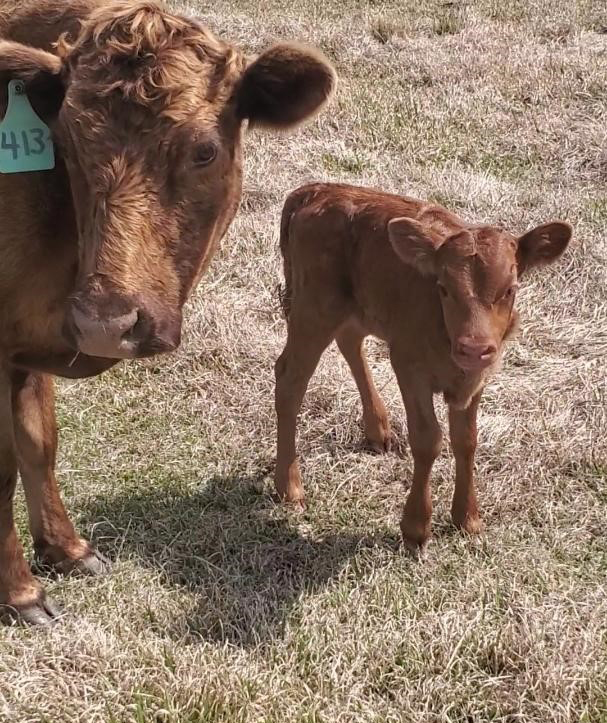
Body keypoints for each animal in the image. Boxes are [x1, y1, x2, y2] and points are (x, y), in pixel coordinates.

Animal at [0, 0, 336, 624]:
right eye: (69, 146)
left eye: (204, 149)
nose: (105, 326)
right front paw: (20, 592)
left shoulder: (23, 346)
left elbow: (40, 441)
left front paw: (66, 550)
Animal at [274, 183, 572, 554]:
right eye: (443, 287)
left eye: (509, 290)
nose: (473, 348)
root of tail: (318, 189)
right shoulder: (408, 364)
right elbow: (428, 439)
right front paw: (416, 528)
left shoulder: (479, 375)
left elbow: (466, 439)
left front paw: (467, 518)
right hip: (314, 308)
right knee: (290, 379)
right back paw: (289, 487)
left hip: (356, 307)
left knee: (349, 340)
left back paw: (378, 429)